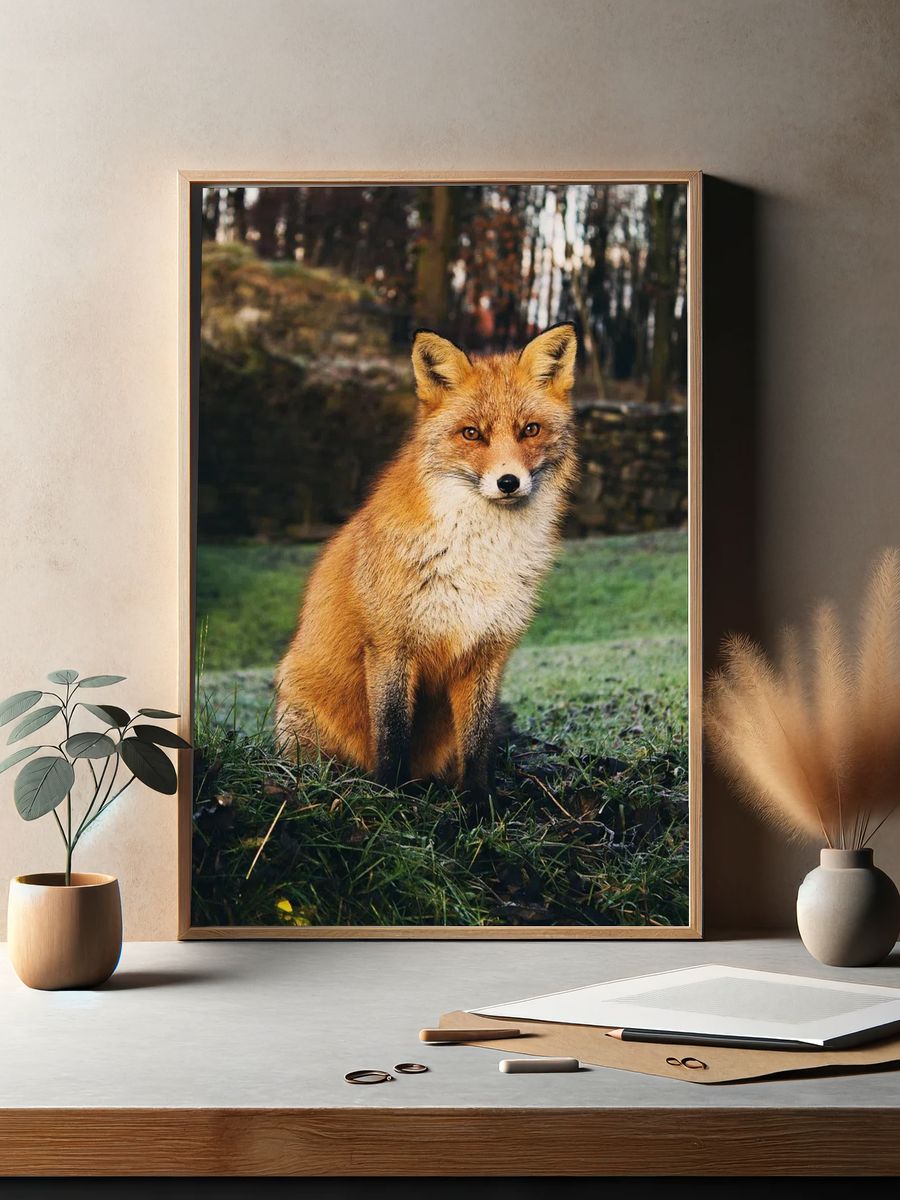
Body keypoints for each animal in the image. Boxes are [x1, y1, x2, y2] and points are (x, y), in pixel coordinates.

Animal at [274, 322, 579, 800]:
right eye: (472, 434)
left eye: (530, 429)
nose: (508, 482)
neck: (478, 558)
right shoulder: (390, 645)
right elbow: (392, 734)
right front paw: (390, 798)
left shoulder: (487, 652)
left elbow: (478, 743)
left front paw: (479, 803)